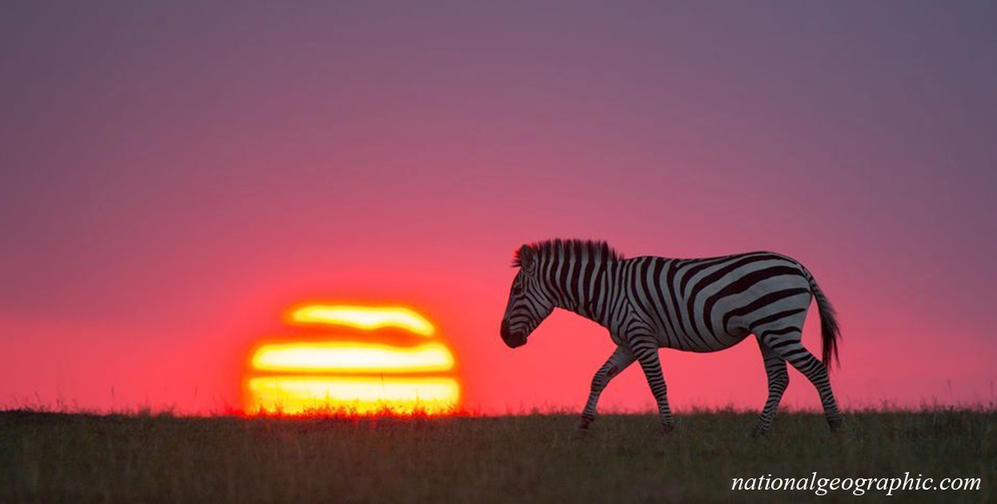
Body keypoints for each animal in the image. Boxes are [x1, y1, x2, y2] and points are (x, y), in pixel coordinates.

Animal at [498, 238, 840, 436]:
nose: (504, 338)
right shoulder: (626, 342)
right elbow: (599, 377)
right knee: (779, 379)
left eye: (516, 290)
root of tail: (798, 266)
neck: (607, 290)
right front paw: (584, 423)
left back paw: (836, 427)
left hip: (779, 328)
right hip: (767, 332)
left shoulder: (641, 336)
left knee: (815, 369)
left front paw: (667, 428)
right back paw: (758, 432)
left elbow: (657, 384)